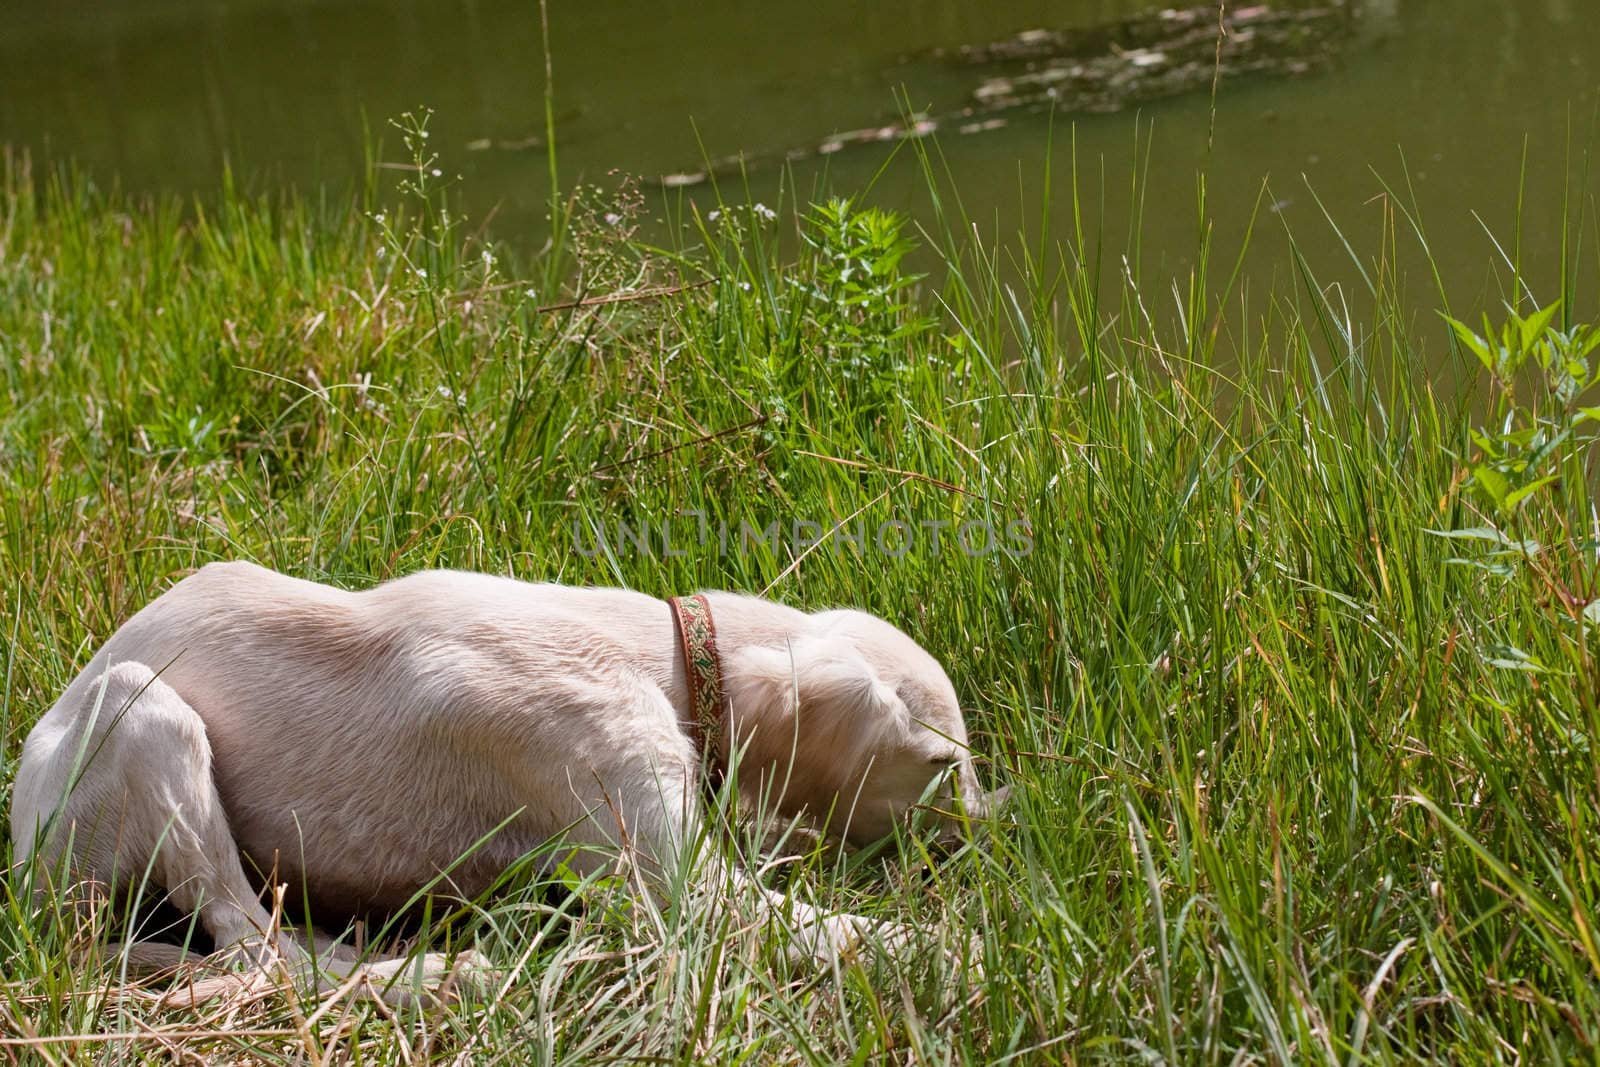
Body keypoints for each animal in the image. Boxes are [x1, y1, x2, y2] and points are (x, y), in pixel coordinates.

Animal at [6, 563, 992, 1004]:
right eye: (947, 766)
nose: (993, 837)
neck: (667, 661)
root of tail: (23, 876)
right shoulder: (686, 890)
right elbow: (863, 934)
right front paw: (974, 952)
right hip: (143, 709)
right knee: (262, 957)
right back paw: (448, 971)